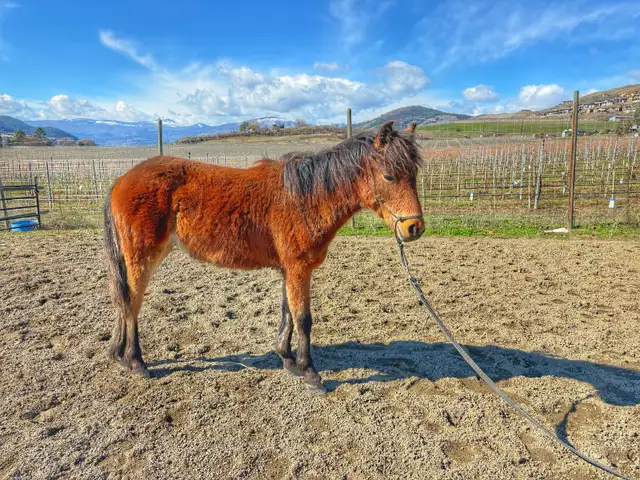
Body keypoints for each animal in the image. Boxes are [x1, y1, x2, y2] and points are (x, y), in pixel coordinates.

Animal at [103, 120, 424, 394]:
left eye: (414, 175)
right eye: (389, 176)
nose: (414, 228)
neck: (305, 198)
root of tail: (121, 180)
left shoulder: (289, 269)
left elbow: (287, 313)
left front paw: (287, 360)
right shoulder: (298, 269)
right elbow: (303, 318)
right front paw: (310, 373)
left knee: (122, 299)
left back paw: (118, 353)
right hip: (142, 257)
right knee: (132, 302)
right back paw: (135, 361)